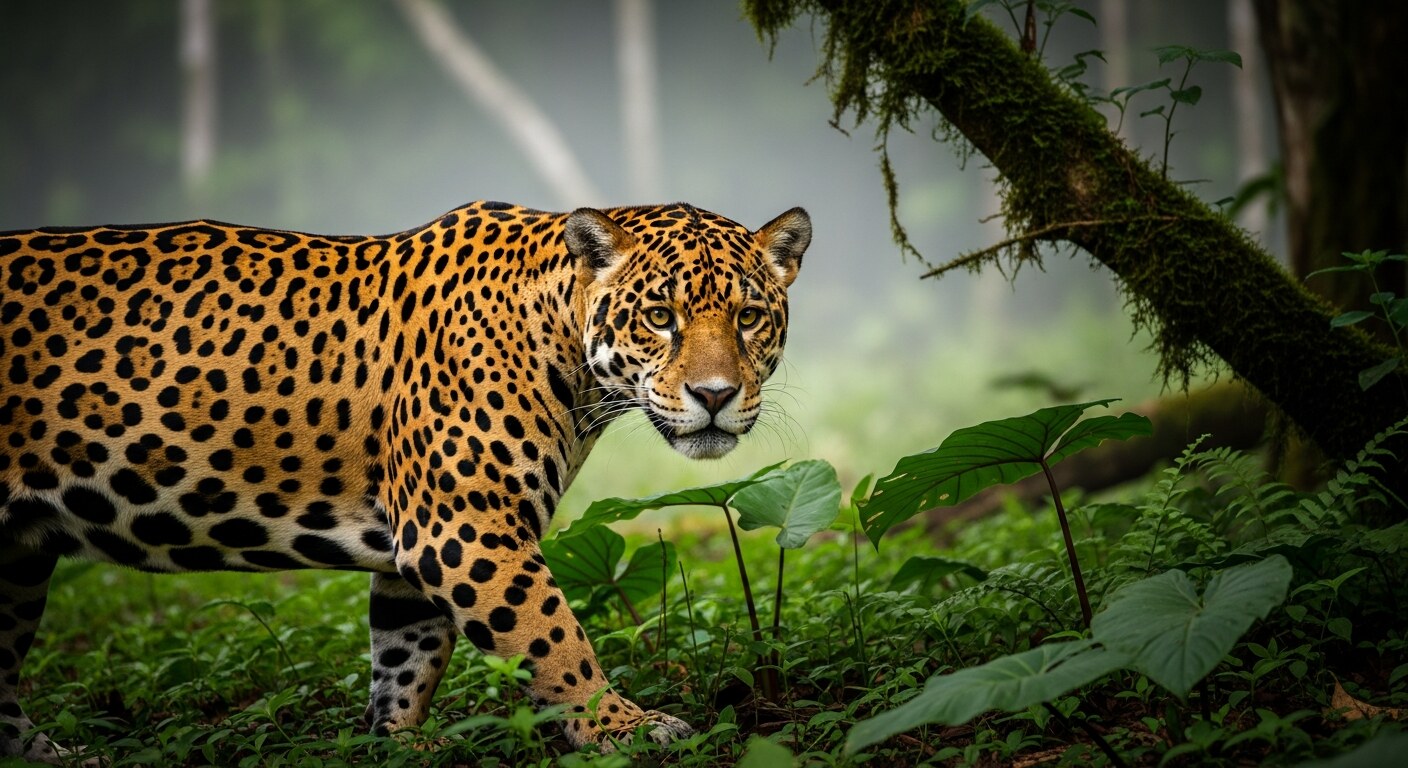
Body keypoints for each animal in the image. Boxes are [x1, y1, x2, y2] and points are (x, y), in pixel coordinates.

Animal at [0, 200, 811, 761]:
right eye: (660, 316)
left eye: (748, 317)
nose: (715, 395)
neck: (567, 351)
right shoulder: (467, 531)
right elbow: (555, 637)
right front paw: (625, 727)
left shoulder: (423, 546)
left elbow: (406, 653)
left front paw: (394, 740)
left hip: (16, 560)